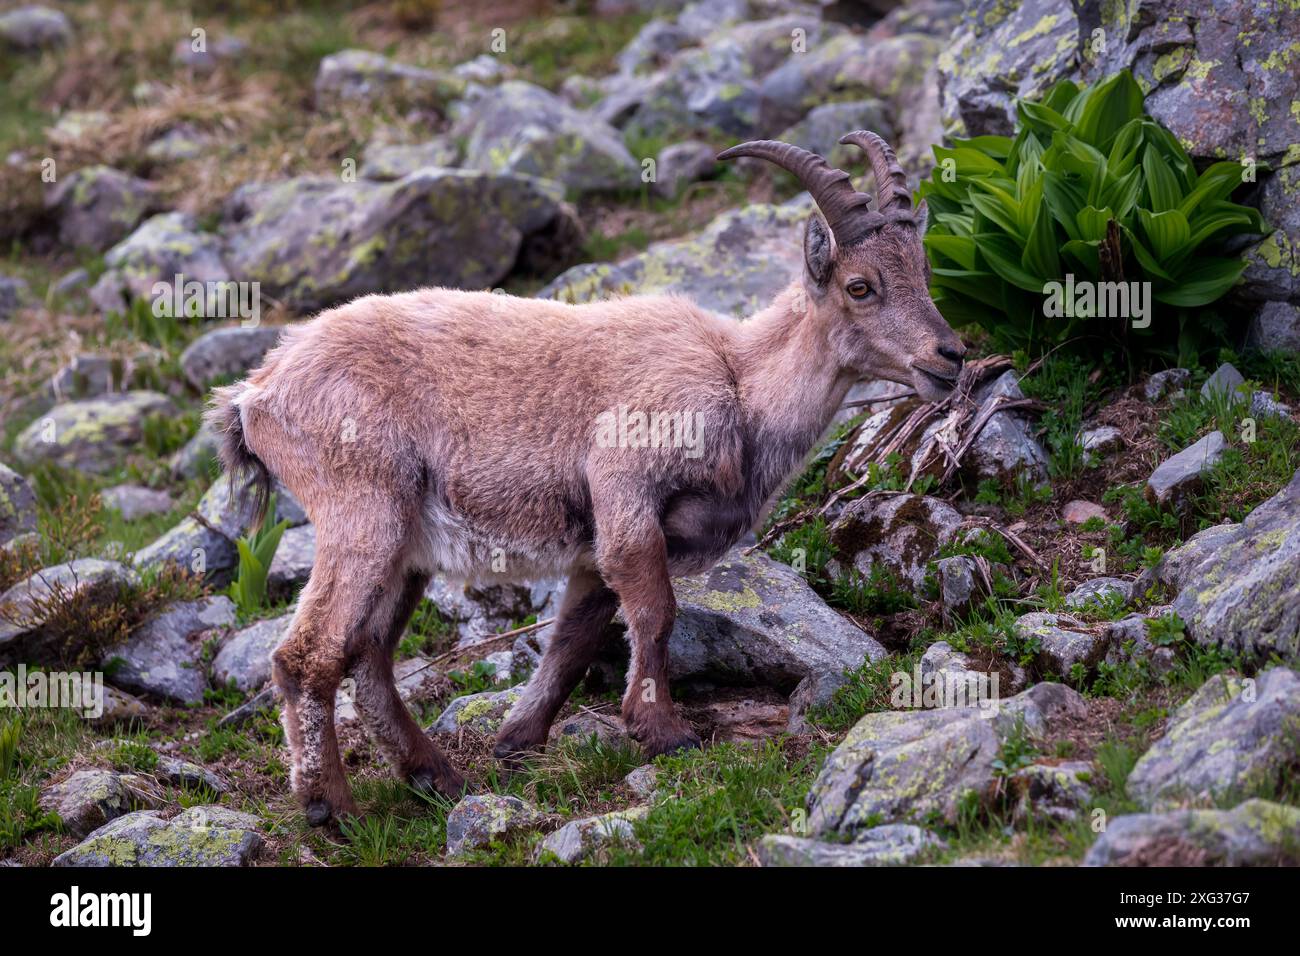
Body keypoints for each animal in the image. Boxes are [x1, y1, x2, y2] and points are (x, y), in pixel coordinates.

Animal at [209, 131, 966, 826]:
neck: (738, 380)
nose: (950, 356)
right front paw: (663, 733)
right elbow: (655, 613)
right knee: (307, 654)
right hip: (363, 511)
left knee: (366, 652)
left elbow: (574, 637)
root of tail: (256, 393)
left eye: (925, 272)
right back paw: (330, 808)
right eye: (860, 286)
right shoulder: (625, 489)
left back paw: (436, 775)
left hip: (406, 547)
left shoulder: (593, 546)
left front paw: (519, 737)